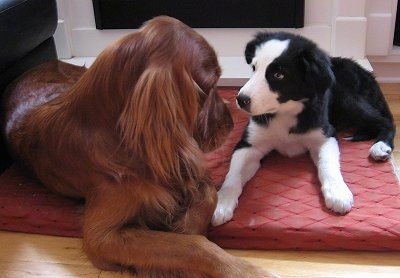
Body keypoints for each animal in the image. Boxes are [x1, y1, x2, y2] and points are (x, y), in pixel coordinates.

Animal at [211, 32, 396, 226]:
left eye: (279, 74)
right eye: (254, 67)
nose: (241, 100)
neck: (286, 112)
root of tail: (365, 71)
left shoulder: (325, 135)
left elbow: (328, 164)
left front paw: (338, 193)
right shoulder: (249, 143)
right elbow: (234, 173)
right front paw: (221, 202)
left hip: (348, 98)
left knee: (385, 121)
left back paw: (381, 146)